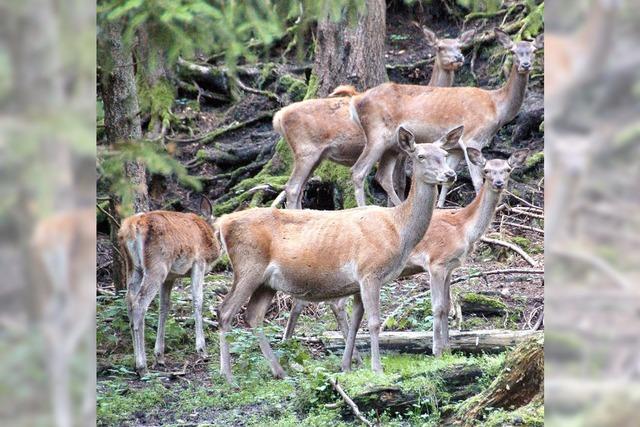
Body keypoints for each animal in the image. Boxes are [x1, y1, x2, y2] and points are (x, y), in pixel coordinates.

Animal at [117, 199, 220, 376]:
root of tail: (131, 227)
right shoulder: (198, 263)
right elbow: (198, 301)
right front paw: (202, 350)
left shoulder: (170, 277)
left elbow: (164, 307)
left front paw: (159, 355)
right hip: (157, 266)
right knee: (139, 304)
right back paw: (142, 366)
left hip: (134, 267)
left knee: (129, 300)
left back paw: (138, 362)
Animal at [215, 125, 460, 382]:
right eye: (420, 156)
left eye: (444, 154)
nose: (450, 174)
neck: (398, 230)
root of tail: (221, 224)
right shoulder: (369, 271)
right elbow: (374, 322)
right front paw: (377, 368)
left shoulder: (358, 282)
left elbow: (355, 323)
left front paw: (346, 366)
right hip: (248, 267)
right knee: (225, 311)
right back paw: (228, 376)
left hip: (266, 282)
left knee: (253, 315)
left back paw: (279, 370)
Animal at [272, 26, 472, 211]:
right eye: (439, 47)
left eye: (459, 46)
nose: (458, 58)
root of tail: (279, 118)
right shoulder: (402, 150)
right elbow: (399, 181)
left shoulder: (396, 149)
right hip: (309, 150)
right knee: (296, 187)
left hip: (317, 155)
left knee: (299, 188)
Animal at [284, 149, 528, 356]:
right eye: (486, 170)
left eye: (507, 169)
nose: (498, 183)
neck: (464, 229)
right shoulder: (436, 262)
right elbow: (438, 307)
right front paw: (437, 351)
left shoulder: (450, 267)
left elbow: (448, 305)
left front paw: (448, 349)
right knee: (328, 302)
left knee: (314, 301)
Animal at [348, 27, 544, 209]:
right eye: (513, 51)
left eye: (534, 50)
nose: (525, 65)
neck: (497, 108)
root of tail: (355, 102)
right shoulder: (472, 138)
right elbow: (477, 181)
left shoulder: (456, 149)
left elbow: (449, 180)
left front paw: (440, 206)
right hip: (377, 134)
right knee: (358, 171)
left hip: (392, 145)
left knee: (383, 176)